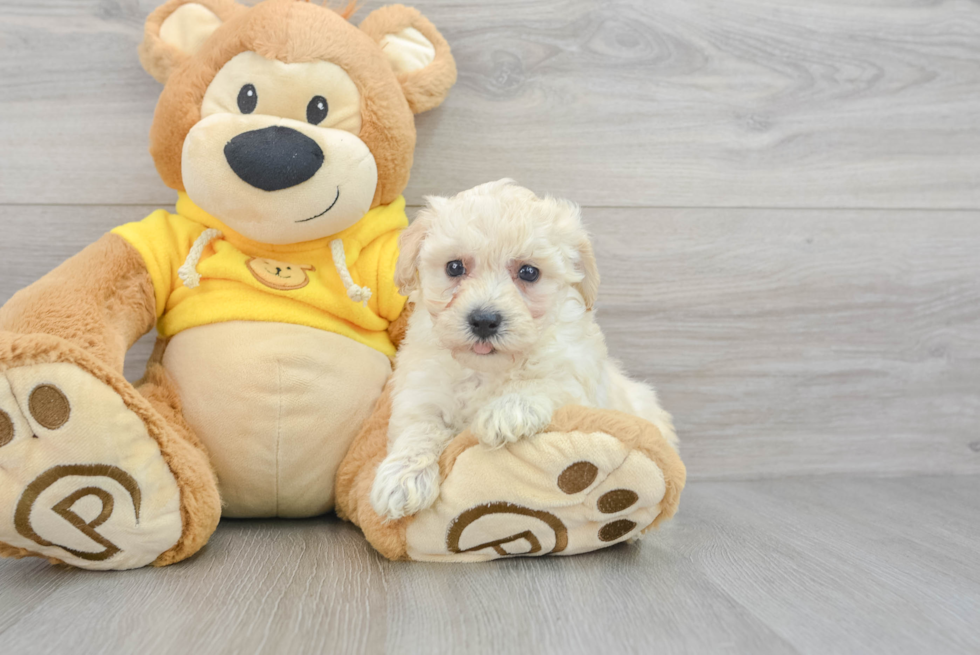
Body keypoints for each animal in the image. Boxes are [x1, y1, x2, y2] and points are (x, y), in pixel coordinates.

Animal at [368, 182, 672, 520]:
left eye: (529, 272)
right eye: (455, 267)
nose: (484, 320)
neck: (487, 369)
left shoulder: (576, 376)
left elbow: (548, 383)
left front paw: (506, 411)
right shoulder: (422, 390)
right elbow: (419, 428)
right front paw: (402, 479)